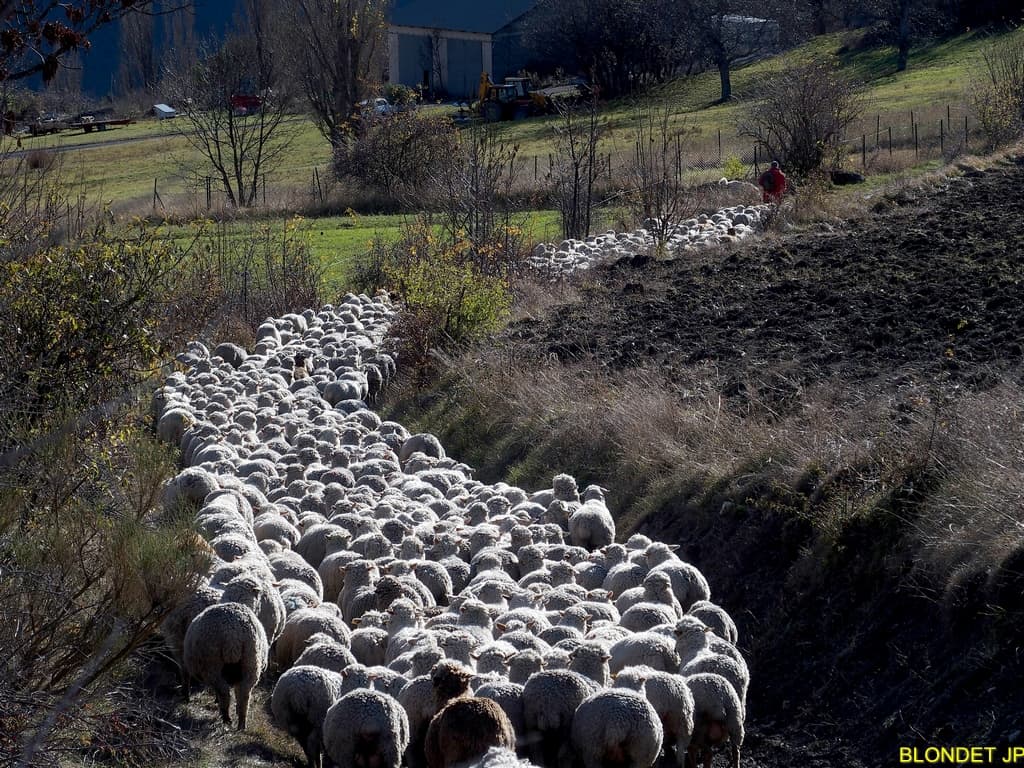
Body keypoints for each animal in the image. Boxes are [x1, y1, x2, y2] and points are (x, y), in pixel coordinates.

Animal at [182, 577, 269, 730]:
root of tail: (232, 633)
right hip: (251, 662)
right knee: (244, 694)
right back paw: (241, 724)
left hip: (212, 663)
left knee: (223, 691)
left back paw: (226, 717)